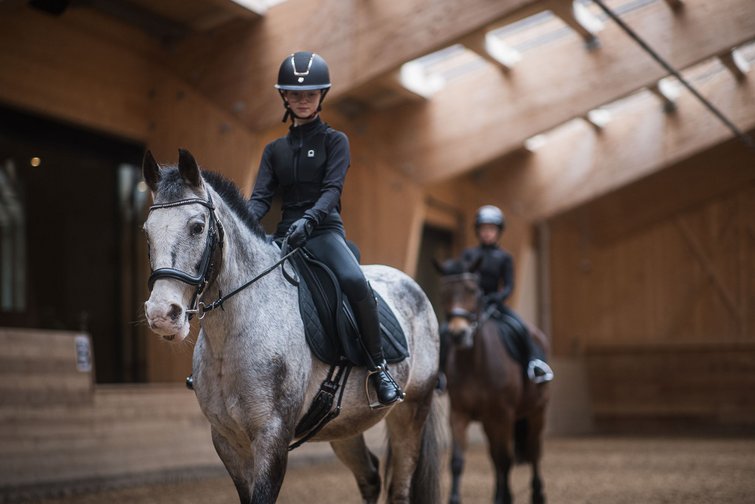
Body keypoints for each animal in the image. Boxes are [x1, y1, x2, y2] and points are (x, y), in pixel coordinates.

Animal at [141, 149, 442, 504]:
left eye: (198, 227)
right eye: (146, 231)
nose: (162, 314)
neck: (233, 337)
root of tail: (413, 285)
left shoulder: (272, 438)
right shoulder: (227, 442)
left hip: (411, 411)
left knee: (400, 488)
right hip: (344, 425)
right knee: (369, 477)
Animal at [435, 258, 550, 504]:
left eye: (473, 290)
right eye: (443, 292)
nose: (459, 334)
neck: (475, 363)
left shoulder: (503, 415)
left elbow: (505, 460)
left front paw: (504, 497)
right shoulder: (459, 414)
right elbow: (458, 461)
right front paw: (455, 499)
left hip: (536, 411)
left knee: (533, 451)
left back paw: (537, 493)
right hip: (490, 422)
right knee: (495, 457)